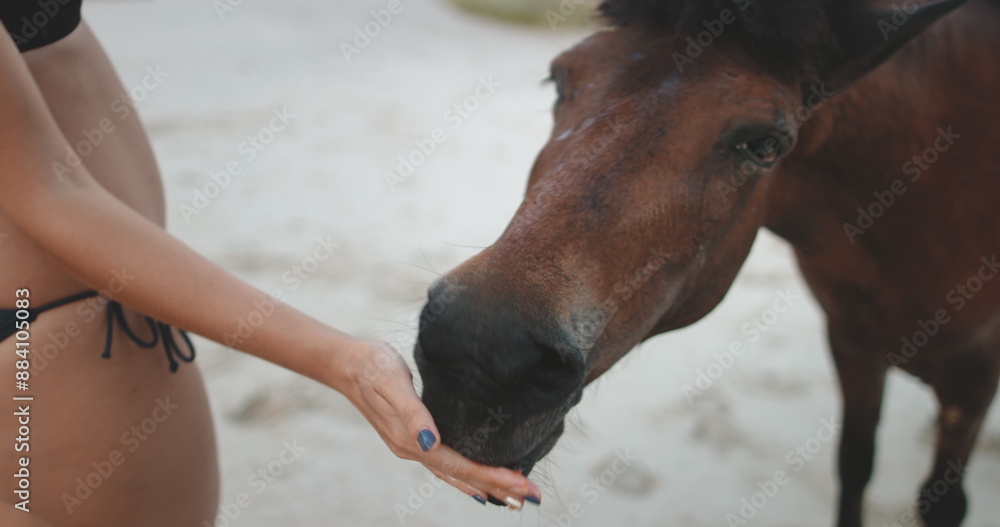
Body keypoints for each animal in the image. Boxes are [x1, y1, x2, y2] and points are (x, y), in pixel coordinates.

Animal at [413, 0, 1000, 525]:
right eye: (558, 80)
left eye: (766, 145)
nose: (477, 355)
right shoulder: (852, 341)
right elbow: (854, 466)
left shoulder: (974, 370)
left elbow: (943, 503)